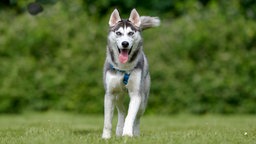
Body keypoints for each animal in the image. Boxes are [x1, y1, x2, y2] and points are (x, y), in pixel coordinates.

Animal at [102, 8, 160, 138]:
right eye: (118, 33)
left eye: (131, 33)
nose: (125, 43)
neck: (123, 68)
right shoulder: (110, 94)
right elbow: (108, 120)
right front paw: (106, 137)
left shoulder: (136, 94)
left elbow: (131, 116)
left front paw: (128, 133)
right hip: (118, 95)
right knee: (122, 110)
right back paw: (119, 130)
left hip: (143, 99)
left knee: (137, 117)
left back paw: (135, 133)